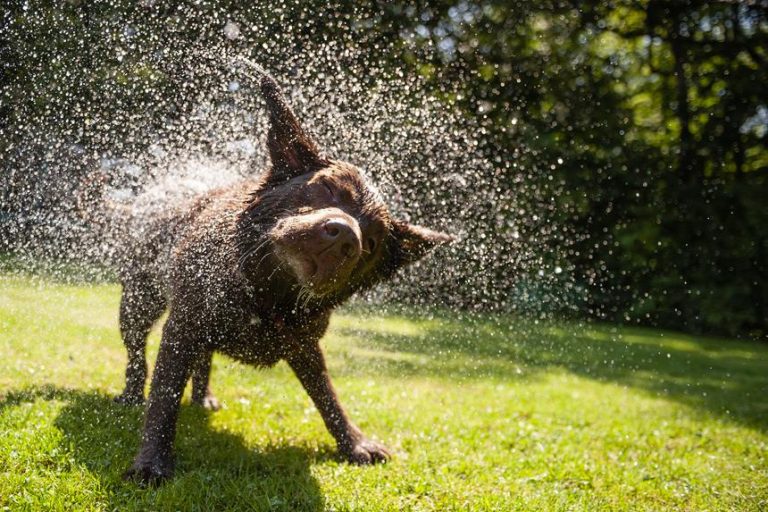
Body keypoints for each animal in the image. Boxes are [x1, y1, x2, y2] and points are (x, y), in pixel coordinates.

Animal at [116, 64, 452, 484]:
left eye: (372, 243)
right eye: (327, 189)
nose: (346, 236)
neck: (267, 293)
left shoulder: (304, 344)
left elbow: (327, 395)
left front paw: (354, 443)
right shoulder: (184, 326)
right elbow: (163, 397)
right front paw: (152, 463)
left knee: (204, 357)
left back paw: (203, 396)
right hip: (138, 302)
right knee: (136, 353)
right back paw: (131, 395)